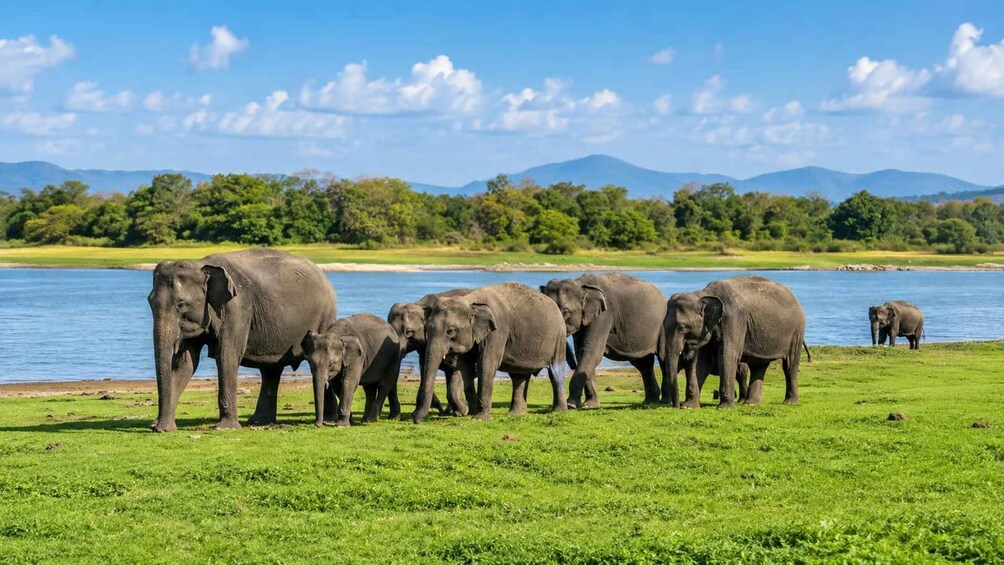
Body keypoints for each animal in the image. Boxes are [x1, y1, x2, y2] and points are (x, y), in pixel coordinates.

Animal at [147, 248, 338, 432]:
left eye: (181, 304)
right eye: (149, 301)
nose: (156, 427)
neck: (201, 267)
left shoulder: (236, 309)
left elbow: (226, 357)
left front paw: (225, 428)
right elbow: (185, 363)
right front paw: (162, 427)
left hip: (325, 318)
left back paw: (328, 419)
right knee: (271, 370)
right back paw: (260, 421)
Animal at [415, 282, 568, 423]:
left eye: (450, 331)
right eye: (427, 329)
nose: (417, 420)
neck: (471, 300)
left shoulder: (497, 331)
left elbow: (486, 365)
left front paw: (479, 418)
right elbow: (465, 369)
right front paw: (462, 411)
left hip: (559, 337)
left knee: (555, 372)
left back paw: (558, 411)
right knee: (518, 375)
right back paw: (516, 413)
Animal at [541, 273, 667, 408]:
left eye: (565, 312)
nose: (572, 367)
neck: (581, 285)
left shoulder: (604, 315)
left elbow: (591, 351)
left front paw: (572, 405)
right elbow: (582, 352)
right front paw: (590, 404)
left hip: (662, 327)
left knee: (662, 359)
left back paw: (663, 401)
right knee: (643, 364)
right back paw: (650, 402)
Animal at [661, 275, 808, 408]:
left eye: (681, 327)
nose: (676, 406)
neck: (702, 294)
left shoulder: (734, 319)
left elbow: (727, 356)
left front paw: (725, 407)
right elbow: (700, 362)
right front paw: (689, 406)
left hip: (797, 330)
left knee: (790, 364)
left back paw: (790, 402)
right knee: (758, 366)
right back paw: (751, 404)